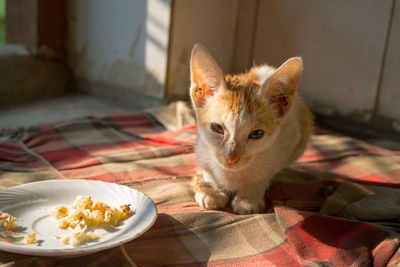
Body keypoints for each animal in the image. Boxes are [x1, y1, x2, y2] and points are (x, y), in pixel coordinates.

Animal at [189, 44, 314, 216]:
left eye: (256, 134)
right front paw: (211, 189)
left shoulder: (287, 143)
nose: (231, 158)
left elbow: (264, 174)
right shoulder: (201, 145)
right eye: (217, 127)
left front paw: (248, 198)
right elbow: (206, 167)